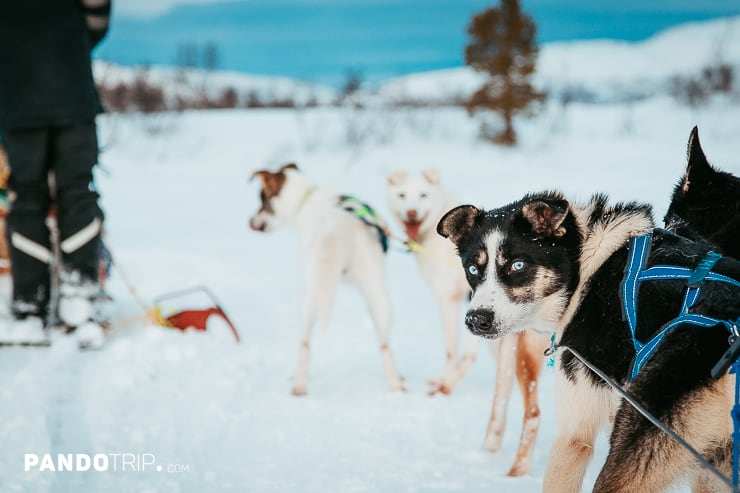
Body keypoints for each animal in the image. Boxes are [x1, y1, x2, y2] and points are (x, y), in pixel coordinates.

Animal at [250, 163, 404, 394]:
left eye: (262, 201)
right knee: (385, 344)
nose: (251, 222)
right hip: (378, 295)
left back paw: (299, 385)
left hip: (311, 295)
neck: (307, 199)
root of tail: (341, 226)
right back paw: (396, 384)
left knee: (305, 343)